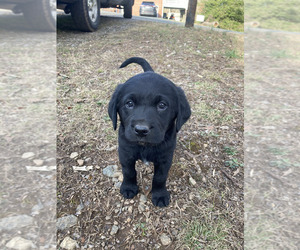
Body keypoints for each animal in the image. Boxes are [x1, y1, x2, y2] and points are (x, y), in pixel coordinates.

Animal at [109, 57, 191, 207]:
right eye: (129, 103)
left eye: (162, 105)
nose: (141, 130)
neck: (145, 146)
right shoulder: (125, 152)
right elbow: (128, 171)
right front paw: (128, 187)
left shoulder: (165, 157)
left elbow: (160, 177)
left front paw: (160, 195)